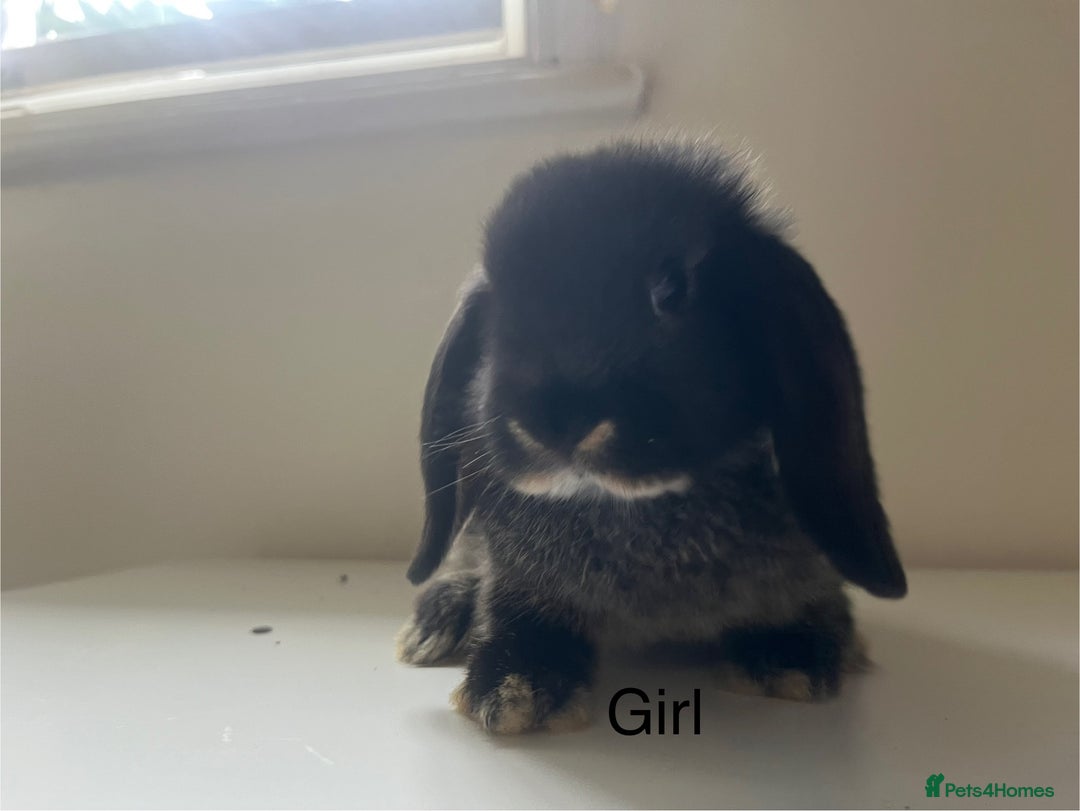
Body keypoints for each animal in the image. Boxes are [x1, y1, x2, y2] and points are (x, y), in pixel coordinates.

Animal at [396, 137, 907, 735]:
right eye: (498, 304)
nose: (556, 419)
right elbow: (516, 610)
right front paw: (512, 689)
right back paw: (434, 622)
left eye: (672, 289)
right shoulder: (516, 576)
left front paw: (791, 662)